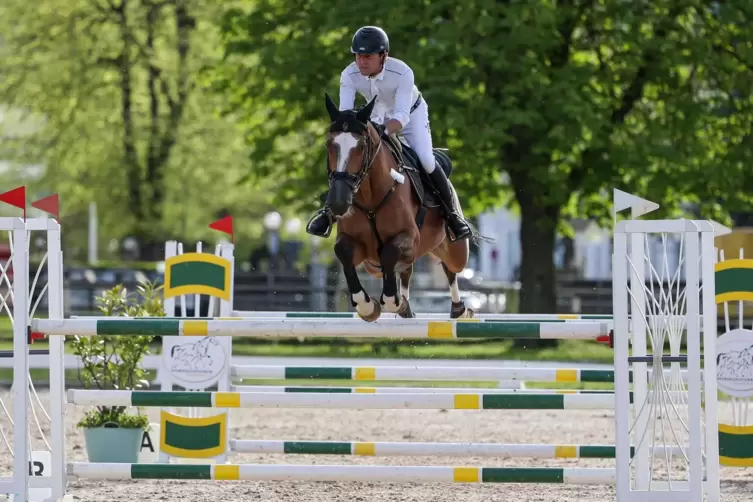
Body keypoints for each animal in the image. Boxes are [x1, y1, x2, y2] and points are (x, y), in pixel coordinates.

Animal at [318, 92, 484, 324]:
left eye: (361, 147)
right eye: (329, 144)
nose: (338, 201)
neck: (370, 196)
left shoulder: (409, 238)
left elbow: (389, 253)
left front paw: (393, 301)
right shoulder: (356, 245)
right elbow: (343, 252)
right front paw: (367, 306)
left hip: (456, 250)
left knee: (450, 268)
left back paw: (459, 310)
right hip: (373, 266)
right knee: (406, 270)